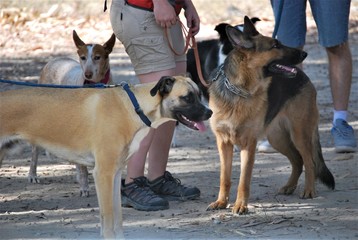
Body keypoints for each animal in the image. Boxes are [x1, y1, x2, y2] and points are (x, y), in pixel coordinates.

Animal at [0, 76, 213, 239]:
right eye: (188, 97)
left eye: (199, 95)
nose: (210, 112)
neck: (134, 107)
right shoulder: (103, 174)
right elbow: (108, 217)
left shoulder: (115, 174)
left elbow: (117, 217)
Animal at [207, 16, 336, 214]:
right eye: (275, 45)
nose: (304, 54)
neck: (239, 90)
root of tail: (304, 76)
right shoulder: (223, 144)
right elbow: (224, 178)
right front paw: (221, 202)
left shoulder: (248, 145)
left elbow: (244, 180)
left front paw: (240, 205)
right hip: (277, 139)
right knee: (298, 161)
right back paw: (290, 186)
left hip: (299, 135)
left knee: (309, 162)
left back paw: (309, 190)